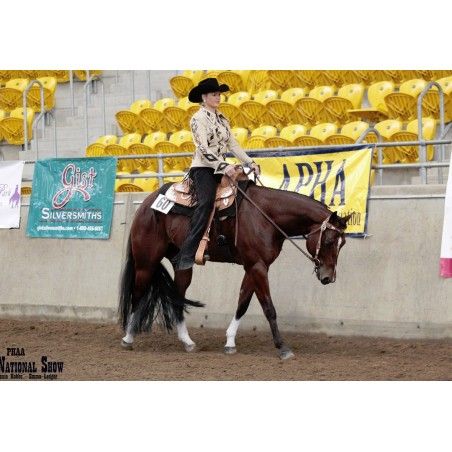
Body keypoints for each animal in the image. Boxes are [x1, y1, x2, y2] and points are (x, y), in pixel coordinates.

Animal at [118, 170, 352, 360]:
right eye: (329, 241)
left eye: (342, 243)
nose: (328, 277)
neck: (265, 215)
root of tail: (146, 204)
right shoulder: (257, 267)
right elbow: (268, 307)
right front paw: (283, 348)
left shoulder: (254, 267)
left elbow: (243, 303)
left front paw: (230, 342)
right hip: (146, 262)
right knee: (137, 294)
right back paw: (128, 338)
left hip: (182, 265)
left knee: (177, 297)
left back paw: (188, 342)